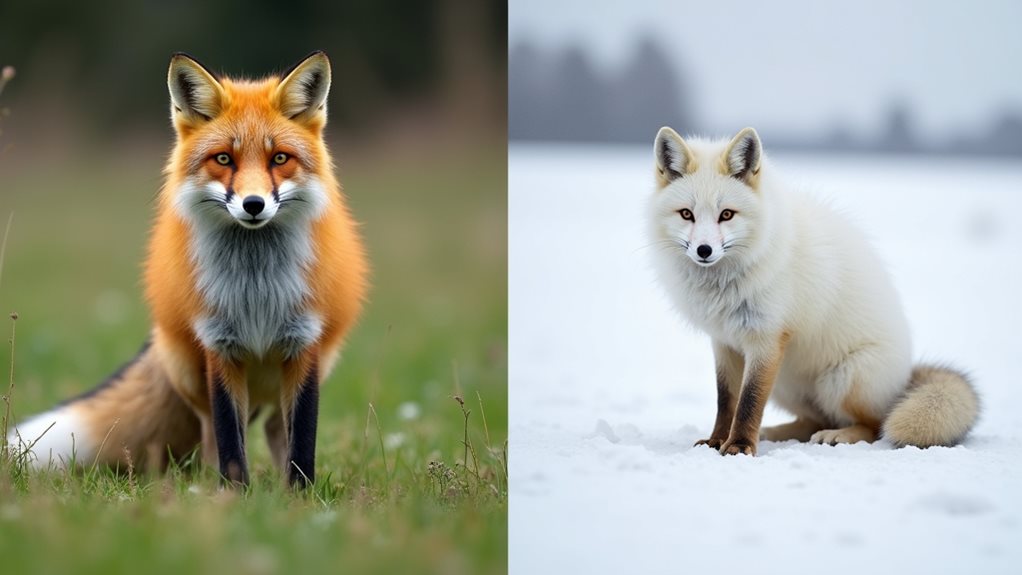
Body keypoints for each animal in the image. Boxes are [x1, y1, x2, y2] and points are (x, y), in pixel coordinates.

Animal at [7, 51, 368, 486]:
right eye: (224, 159)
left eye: (279, 158)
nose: (253, 204)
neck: (256, 287)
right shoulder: (219, 345)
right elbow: (229, 440)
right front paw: (235, 493)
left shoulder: (303, 345)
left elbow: (303, 441)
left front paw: (300, 493)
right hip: (188, 372)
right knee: (210, 430)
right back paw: (208, 485)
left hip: (310, 365)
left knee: (271, 427)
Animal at [648, 126, 979, 456]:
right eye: (687, 214)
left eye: (726, 214)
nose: (704, 250)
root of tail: (905, 377)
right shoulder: (724, 342)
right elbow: (727, 400)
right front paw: (717, 440)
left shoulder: (766, 339)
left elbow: (749, 402)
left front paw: (739, 446)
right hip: (787, 383)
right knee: (811, 421)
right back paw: (777, 432)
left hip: (840, 380)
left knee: (874, 426)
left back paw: (839, 434)